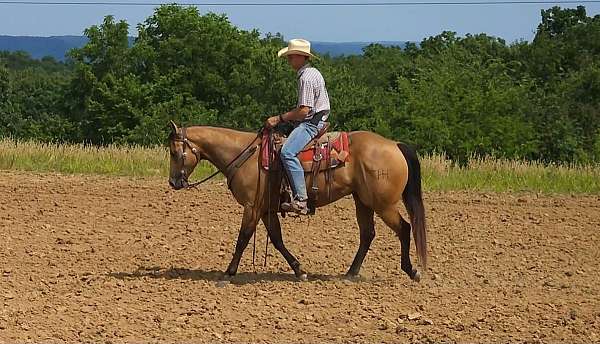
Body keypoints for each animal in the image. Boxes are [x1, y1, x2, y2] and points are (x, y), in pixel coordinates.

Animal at [168, 122, 426, 284]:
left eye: (173, 152)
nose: (173, 182)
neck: (246, 155)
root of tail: (394, 145)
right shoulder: (266, 209)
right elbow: (277, 239)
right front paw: (299, 270)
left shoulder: (252, 207)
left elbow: (243, 238)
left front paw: (228, 273)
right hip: (362, 201)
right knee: (367, 234)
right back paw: (350, 273)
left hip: (383, 204)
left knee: (404, 228)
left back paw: (411, 270)